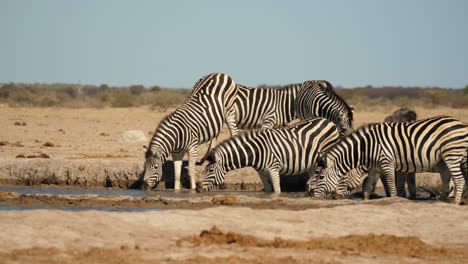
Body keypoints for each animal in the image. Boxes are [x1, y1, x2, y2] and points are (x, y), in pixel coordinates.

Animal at [196, 117, 342, 192]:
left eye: (209, 170)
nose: (197, 188)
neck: (255, 151)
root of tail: (327, 120)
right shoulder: (261, 172)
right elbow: (267, 190)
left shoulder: (274, 169)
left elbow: (277, 190)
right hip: (312, 163)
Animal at [312, 115, 468, 204]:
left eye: (321, 177)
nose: (335, 197)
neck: (366, 147)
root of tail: (460, 123)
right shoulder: (375, 169)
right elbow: (367, 187)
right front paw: (365, 201)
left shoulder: (388, 163)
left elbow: (393, 187)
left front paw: (394, 199)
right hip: (443, 161)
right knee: (448, 182)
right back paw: (443, 201)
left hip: (452, 155)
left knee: (460, 180)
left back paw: (455, 202)